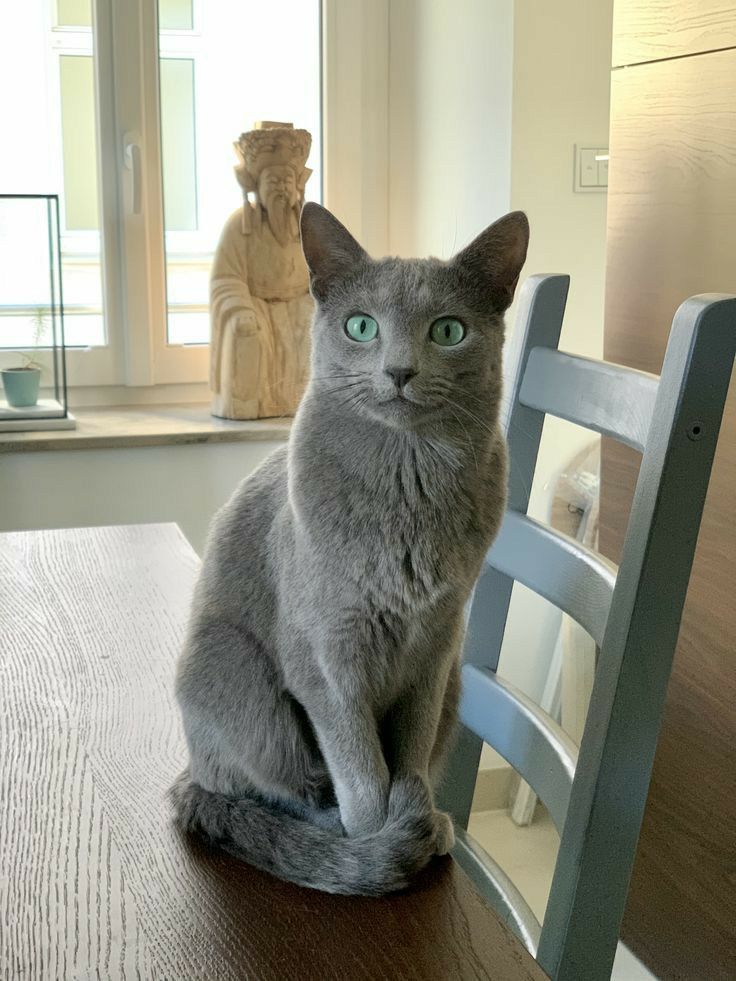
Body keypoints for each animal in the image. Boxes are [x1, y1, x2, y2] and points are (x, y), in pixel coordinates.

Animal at [171, 203, 528, 892]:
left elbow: (407, 754)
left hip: (456, 686)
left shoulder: (435, 648)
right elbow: (359, 766)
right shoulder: (327, 653)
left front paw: (414, 816)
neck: (408, 490)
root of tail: (189, 773)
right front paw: (376, 840)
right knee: (272, 788)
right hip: (233, 673)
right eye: (361, 326)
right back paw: (332, 837)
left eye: (449, 331)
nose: (399, 370)